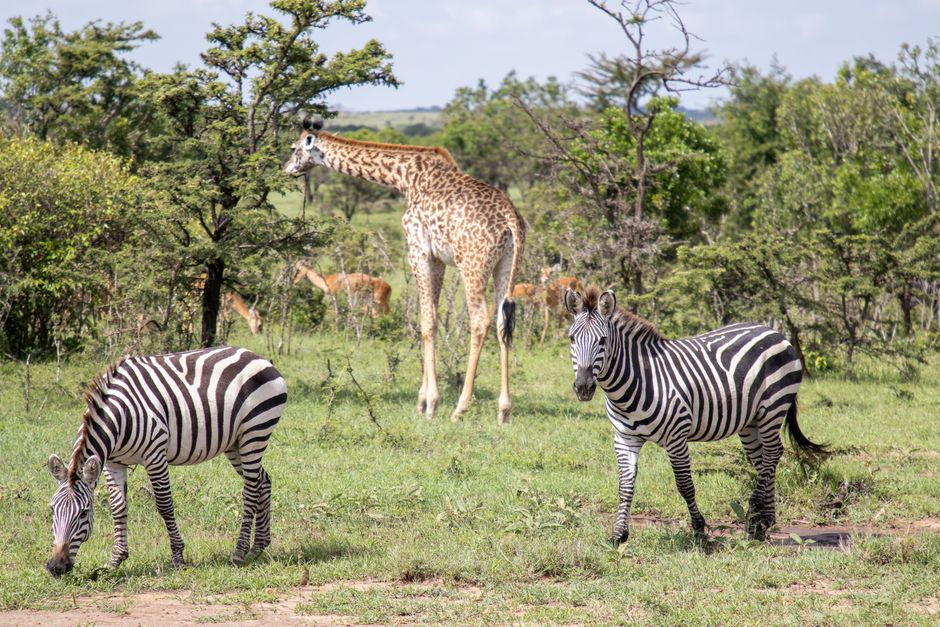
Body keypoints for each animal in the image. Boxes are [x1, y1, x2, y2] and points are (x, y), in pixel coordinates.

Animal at [45, 346, 287, 577]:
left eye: (84, 513)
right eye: (52, 509)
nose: (56, 567)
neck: (120, 417)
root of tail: (259, 357)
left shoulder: (155, 455)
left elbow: (164, 505)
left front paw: (178, 557)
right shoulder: (112, 463)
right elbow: (118, 507)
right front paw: (115, 561)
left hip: (254, 432)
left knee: (251, 490)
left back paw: (239, 551)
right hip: (235, 444)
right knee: (263, 481)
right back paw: (258, 546)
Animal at [285, 119, 526, 424]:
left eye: (293, 148)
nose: (287, 169)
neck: (406, 178)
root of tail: (511, 220)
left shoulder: (418, 251)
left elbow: (426, 323)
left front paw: (430, 403)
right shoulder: (437, 259)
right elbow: (430, 319)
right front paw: (422, 402)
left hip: (472, 265)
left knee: (480, 321)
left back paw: (460, 408)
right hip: (506, 266)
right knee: (503, 322)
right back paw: (504, 410)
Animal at [564, 286, 827, 544]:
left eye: (603, 340)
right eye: (571, 338)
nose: (583, 387)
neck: (637, 382)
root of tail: (774, 332)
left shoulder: (676, 437)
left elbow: (685, 485)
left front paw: (699, 529)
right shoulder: (624, 438)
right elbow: (625, 486)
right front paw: (619, 534)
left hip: (772, 409)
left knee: (773, 454)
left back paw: (754, 518)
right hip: (750, 421)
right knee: (763, 460)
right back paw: (764, 522)